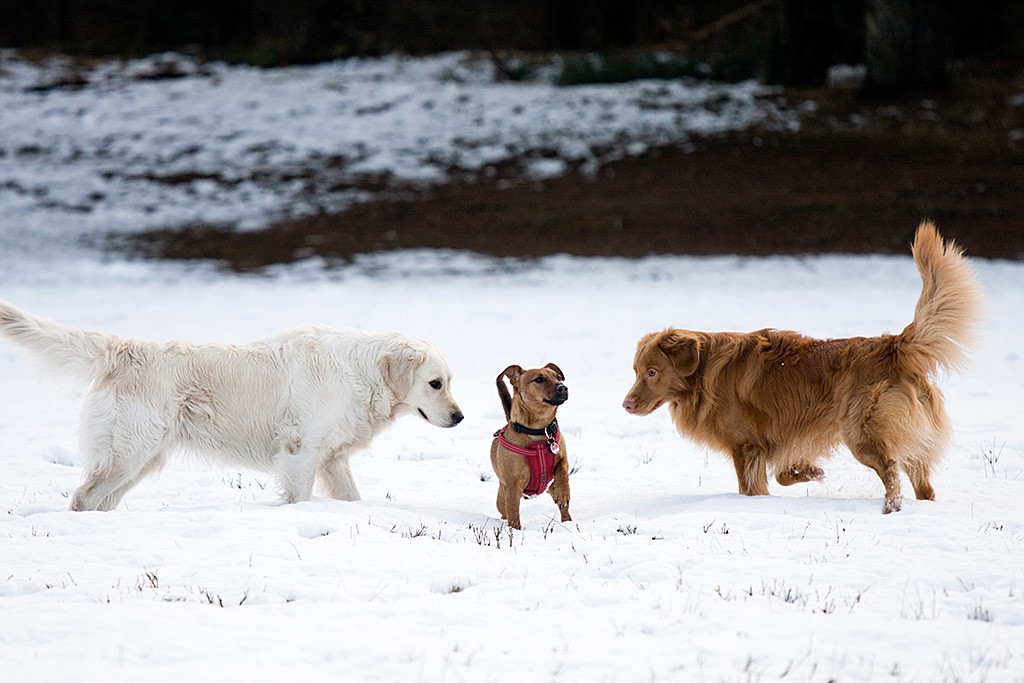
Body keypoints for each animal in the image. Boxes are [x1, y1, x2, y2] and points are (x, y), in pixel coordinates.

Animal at [0, 301, 464, 509]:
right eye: (435, 383)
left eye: (450, 382)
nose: (460, 418)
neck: (360, 371)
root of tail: (125, 349)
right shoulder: (301, 452)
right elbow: (299, 497)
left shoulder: (332, 459)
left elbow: (350, 496)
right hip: (127, 452)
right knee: (82, 496)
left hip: (142, 458)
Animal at [489, 362, 573, 528]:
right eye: (539, 379)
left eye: (558, 377)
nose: (563, 387)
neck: (538, 431)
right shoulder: (513, 486)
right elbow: (513, 514)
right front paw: (514, 531)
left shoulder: (562, 457)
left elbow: (563, 472)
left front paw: (563, 492)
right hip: (502, 497)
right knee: (505, 511)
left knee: (563, 507)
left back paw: (567, 522)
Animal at [618, 222, 978, 516]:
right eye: (636, 371)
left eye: (652, 372)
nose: (626, 405)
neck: (704, 371)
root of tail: (893, 345)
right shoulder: (782, 438)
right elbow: (781, 473)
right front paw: (809, 473)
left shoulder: (746, 446)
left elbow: (750, 486)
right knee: (922, 481)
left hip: (860, 430)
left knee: (890, 468)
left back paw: (891, 507)